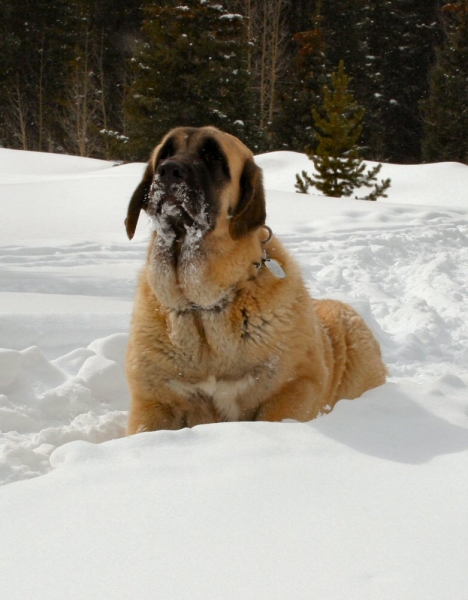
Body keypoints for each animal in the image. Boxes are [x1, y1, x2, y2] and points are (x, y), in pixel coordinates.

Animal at [123, 125, 384, 432]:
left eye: (213, 156)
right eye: (165, 153)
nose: (169, 171)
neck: (202, 308)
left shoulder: (293, 388)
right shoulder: (153, 403)